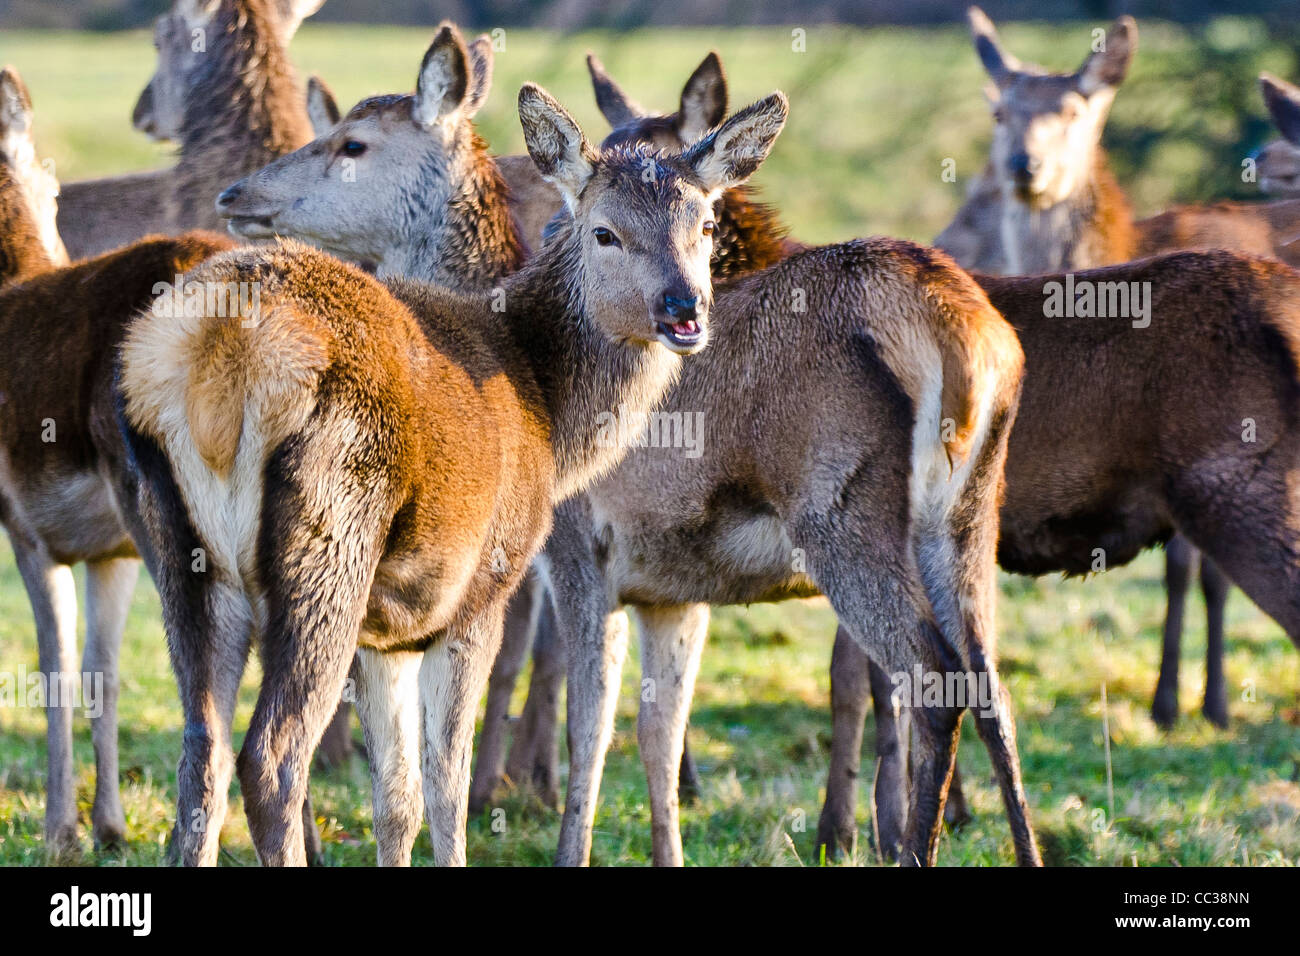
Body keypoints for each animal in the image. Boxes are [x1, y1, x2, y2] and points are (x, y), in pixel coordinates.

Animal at [117, 51, 792, 865]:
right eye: (605, 232)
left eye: (706, 222)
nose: (682, 308)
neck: (549, 409)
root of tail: (215, 356)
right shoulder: (482, 585)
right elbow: (449, 784)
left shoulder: (390, 629)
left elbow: (396, 799)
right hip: (330, 541)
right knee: (273, 759)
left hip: (179, 551)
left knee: (201, 754)